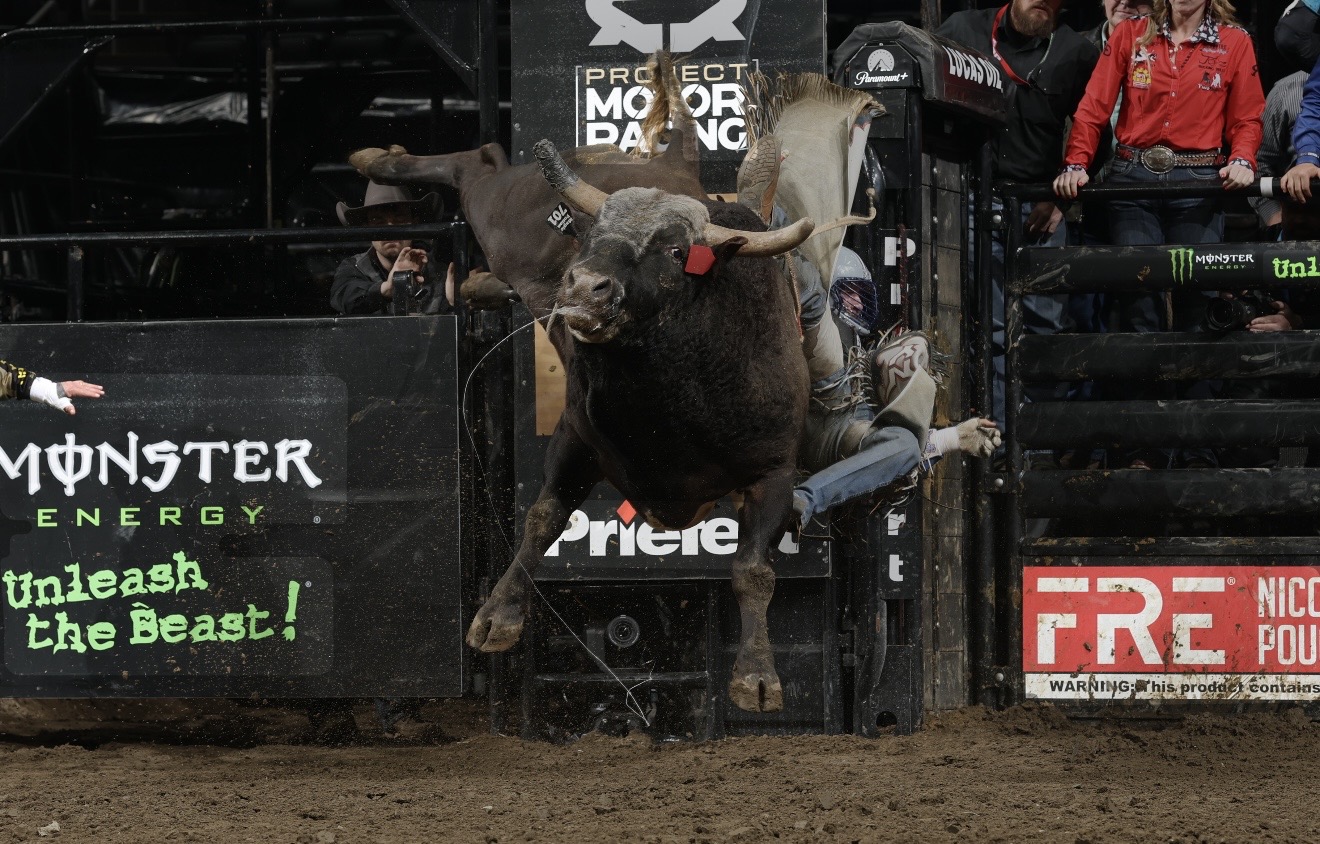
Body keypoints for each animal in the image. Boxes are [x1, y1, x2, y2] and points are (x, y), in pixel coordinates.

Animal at [461, 138, 815, 713]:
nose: (585, 287)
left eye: (674, 252)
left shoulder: (773, 474)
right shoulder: (576, 441)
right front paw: (498, 616)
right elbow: (542, 521)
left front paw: (756, 675)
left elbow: (753, 572)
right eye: (590, 234)